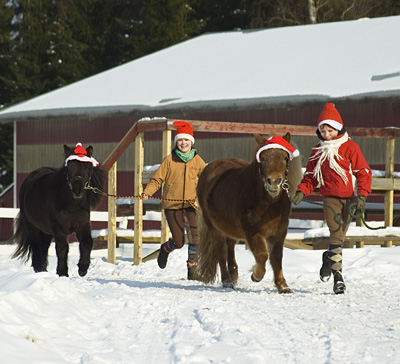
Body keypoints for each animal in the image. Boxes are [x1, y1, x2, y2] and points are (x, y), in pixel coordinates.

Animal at [12, 144, 105, 278]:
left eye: (88, 167)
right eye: (69, 167)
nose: (77, 190)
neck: (72, 206)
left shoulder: (83, 226)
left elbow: (87, 243)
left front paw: (82, 268)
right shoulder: (59, 229)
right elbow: (62, 248)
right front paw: (62, 273)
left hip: (46, 231)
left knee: (43, 247)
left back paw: (43, 270)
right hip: (31, 226)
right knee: (36, 246)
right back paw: (39, 269)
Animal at [195, 134, 302, 292]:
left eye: (285, 158)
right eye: (262, 158)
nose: (274, 182)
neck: (269, 203)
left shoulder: (279, 232)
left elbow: (277, 258)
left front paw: (282, 285)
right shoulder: (252, 232)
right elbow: (262, 255)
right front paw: (256, 275)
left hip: (229, 228)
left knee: (230, 248)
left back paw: (233, 276)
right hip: (214, 228)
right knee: (221, 251)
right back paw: (227, 281)